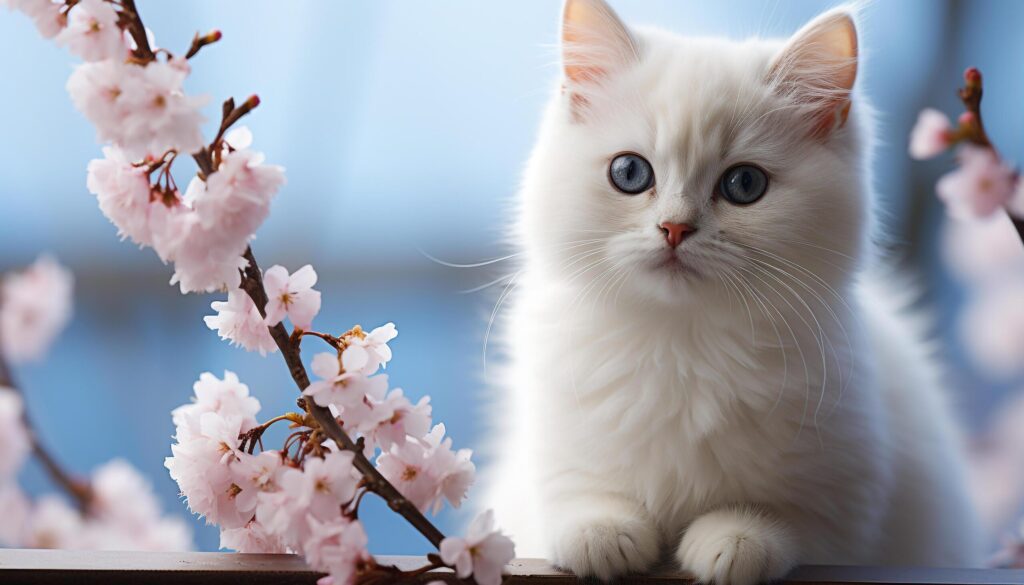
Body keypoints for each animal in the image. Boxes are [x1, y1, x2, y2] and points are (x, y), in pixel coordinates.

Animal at [483, 2, 987, 581]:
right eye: (630, 173)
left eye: (744, 185)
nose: (675, 228)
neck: (680, 347)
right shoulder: (544, 460)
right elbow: (571, 495)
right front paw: (601, 532)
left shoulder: (853, 500)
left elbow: (790, 520)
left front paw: (738, 538)